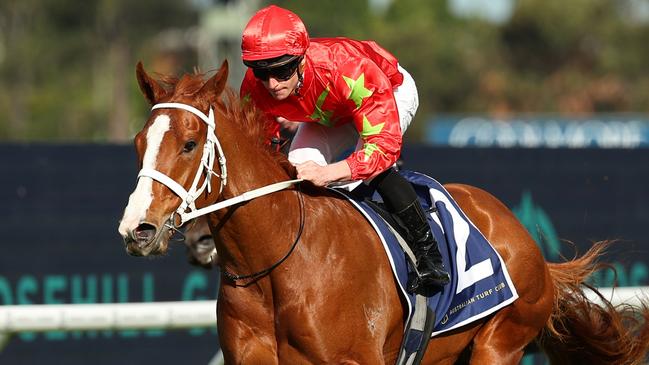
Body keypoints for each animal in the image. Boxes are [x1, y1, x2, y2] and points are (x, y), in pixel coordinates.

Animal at [117, 61, 648, 362]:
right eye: (139, 142)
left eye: (189, 144)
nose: (137, 229)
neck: (277, 261)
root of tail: (523, 236)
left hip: (500, 344)